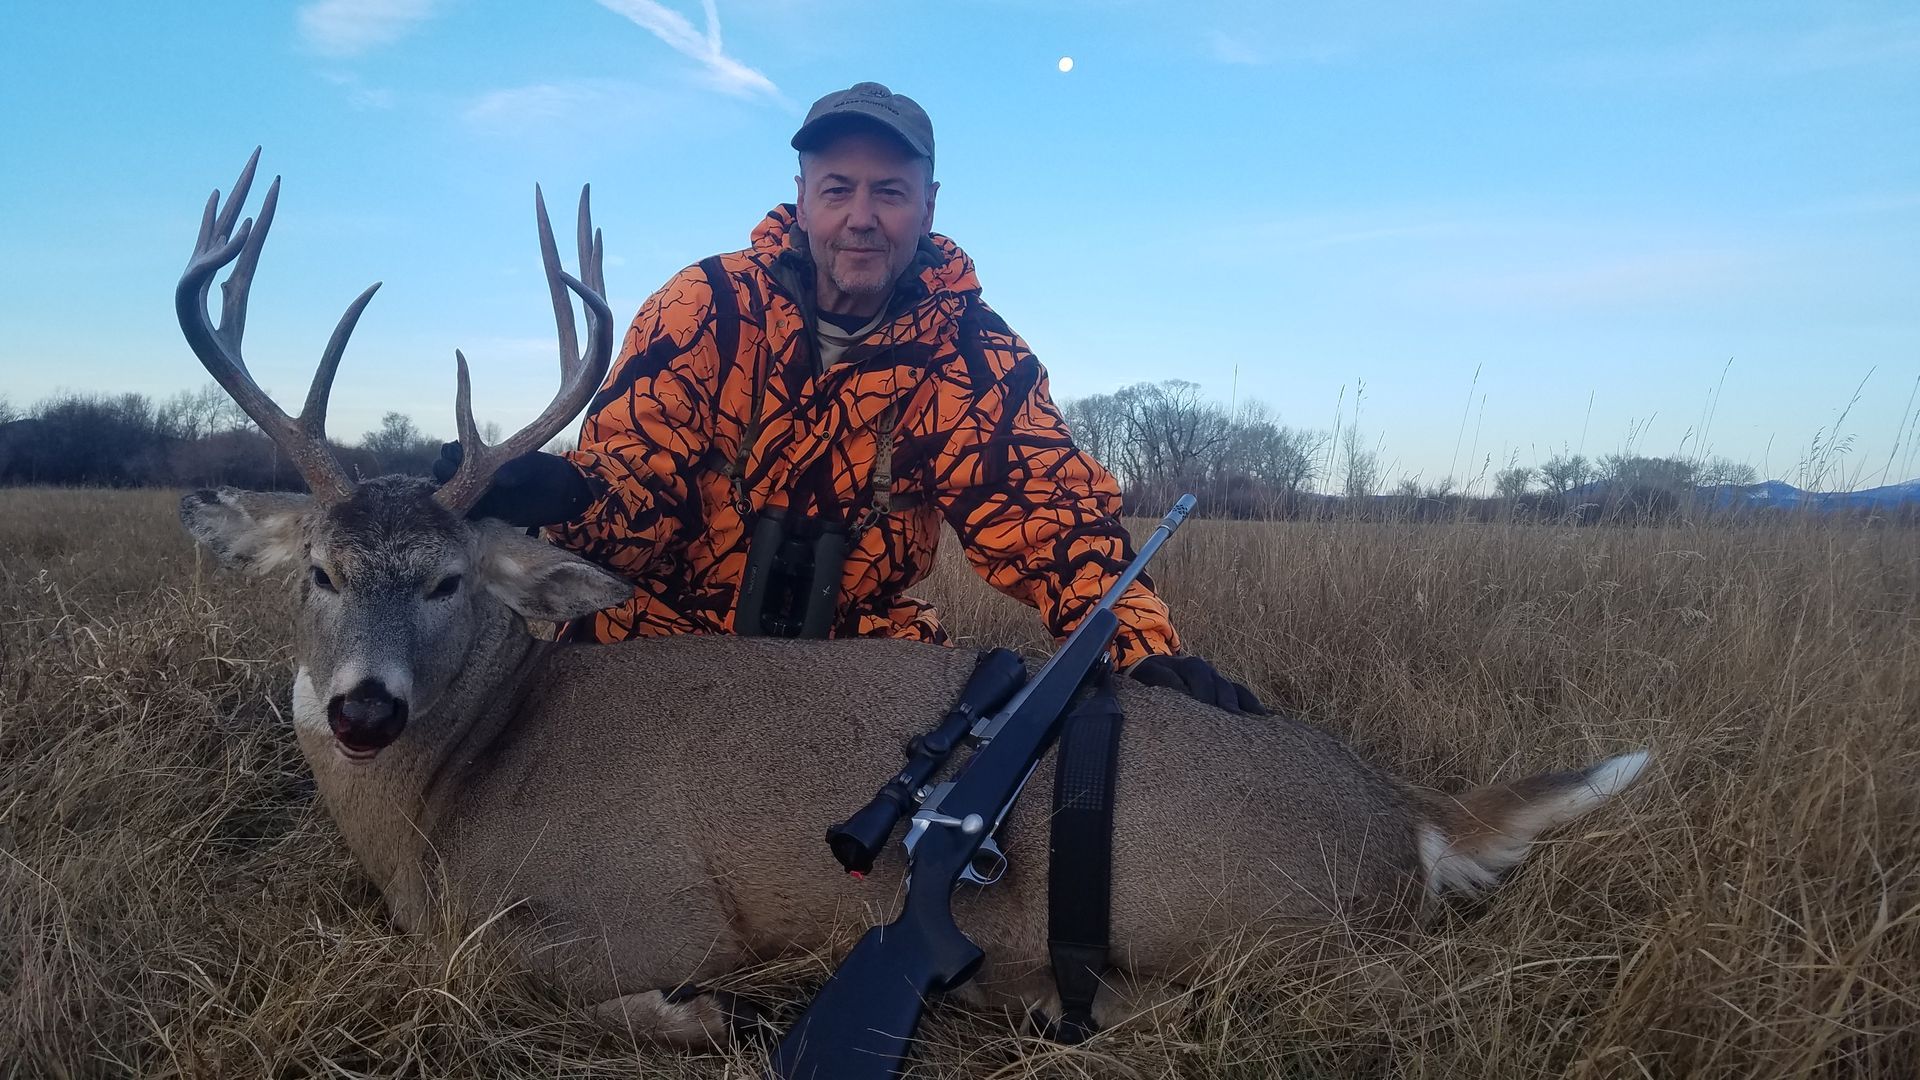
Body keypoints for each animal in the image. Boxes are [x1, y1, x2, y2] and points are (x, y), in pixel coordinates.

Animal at [175, 150, 1652, 1052]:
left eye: (445, 579)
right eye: (318, 571)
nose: (363, 710)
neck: (459, 795)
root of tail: (1411, 815)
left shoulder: (648, 905)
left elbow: (518, 971)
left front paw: (712, 1018)